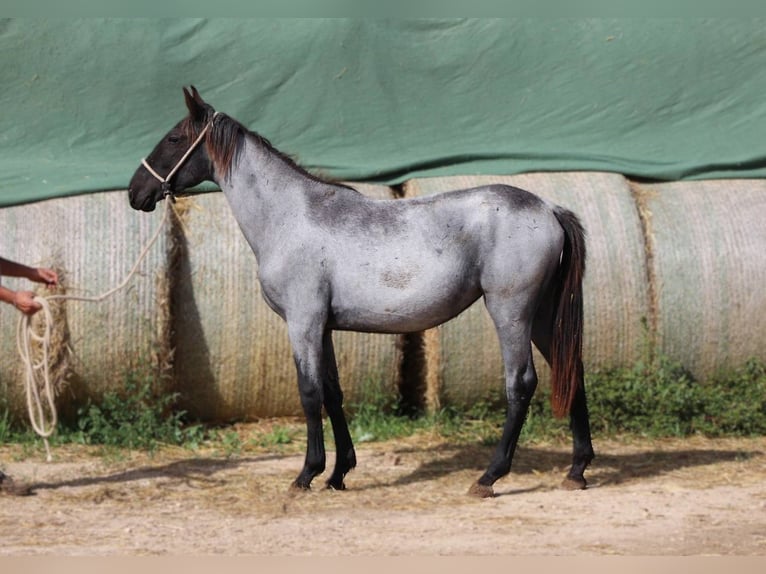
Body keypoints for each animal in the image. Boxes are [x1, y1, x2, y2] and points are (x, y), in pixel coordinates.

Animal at [127, 86, 592, 500]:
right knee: (572, 371)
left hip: (511, 312)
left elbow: (309, 392)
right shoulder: (324, 328)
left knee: (521, 384)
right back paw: (577, 470)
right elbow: (333, 393)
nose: (136, 192)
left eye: (174, 139)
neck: (290, 217)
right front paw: (338, 474)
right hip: (543, 316)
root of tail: (549, 208)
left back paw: (489, 477)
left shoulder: (303, 323)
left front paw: (307, 474)